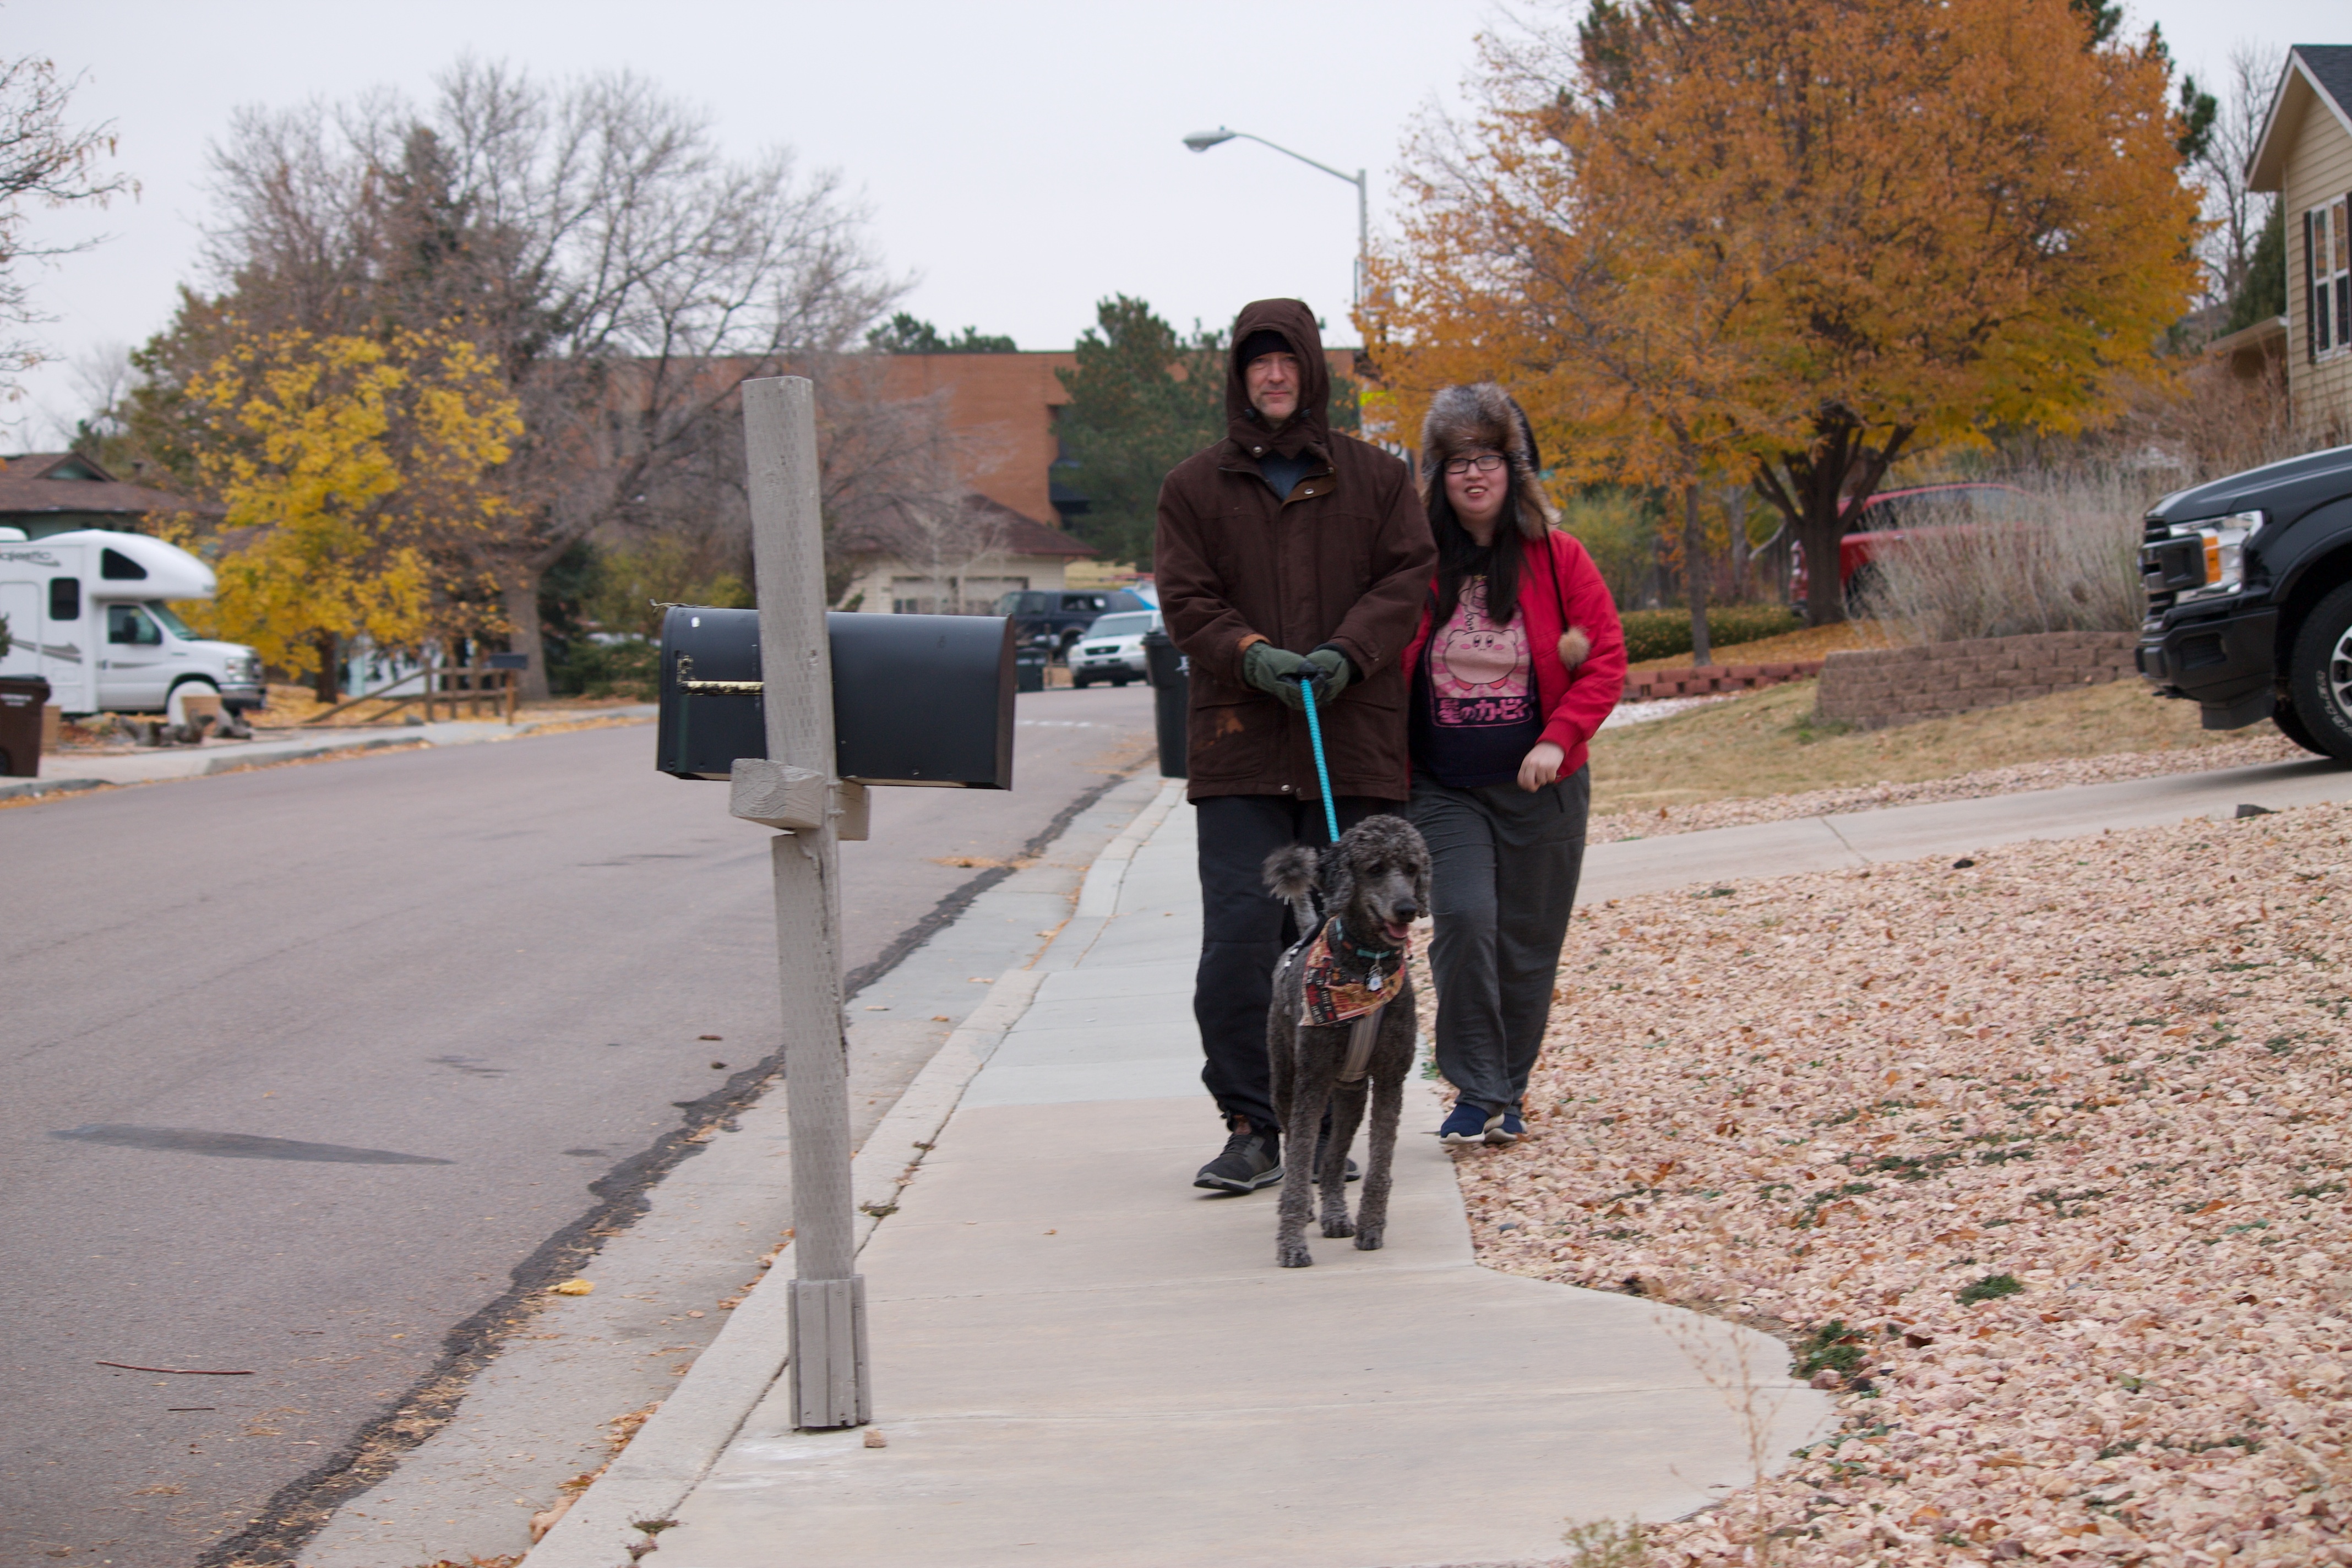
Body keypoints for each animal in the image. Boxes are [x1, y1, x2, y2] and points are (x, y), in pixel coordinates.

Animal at [1261, 815, 1431, 1269]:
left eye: (1412, 868)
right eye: (1374, 868)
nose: (1407, 909)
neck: (1367, 969)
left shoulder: (1391, 1079)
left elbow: (1380, 1163)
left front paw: (1372, 1226)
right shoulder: (1312, 1081)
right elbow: (1300, 1160)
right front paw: (1291, 1244)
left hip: (1352, 1093)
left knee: (1335, 1158)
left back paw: (1337, 1215)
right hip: (1285, 1080)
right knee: (1295, 1143)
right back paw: (1305, 1209)